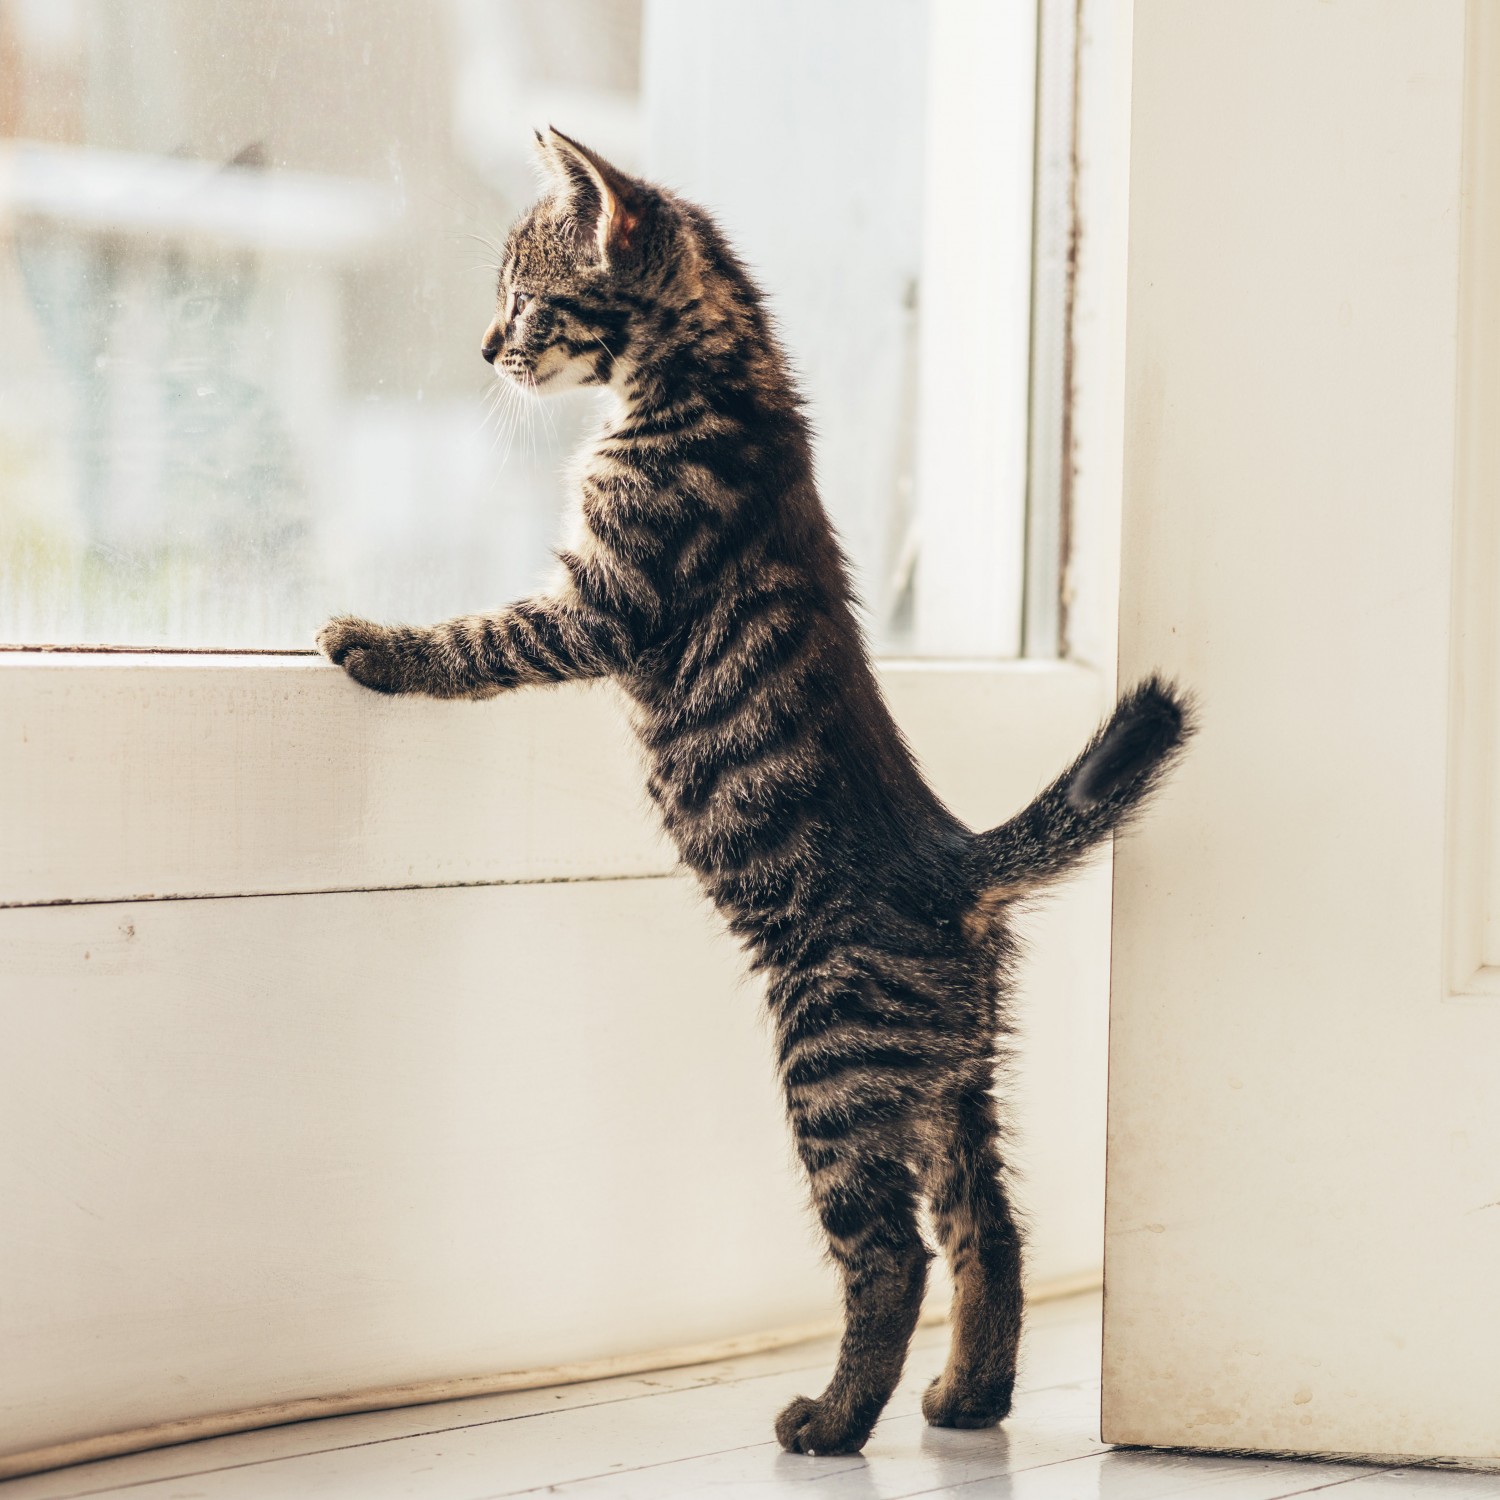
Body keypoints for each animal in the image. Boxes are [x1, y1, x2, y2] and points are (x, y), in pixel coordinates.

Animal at [319, 129, 1194, 1452]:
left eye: (522, 298)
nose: (482, 349)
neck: (723, 377)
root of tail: (956, 863)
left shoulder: (603, 601)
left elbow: (481, 641)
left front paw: (375, 643)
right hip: (951, 1085)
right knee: (990, 1232)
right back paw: (969, 1396)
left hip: (829, 1065)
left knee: (891, 1256)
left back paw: (833, 1419)